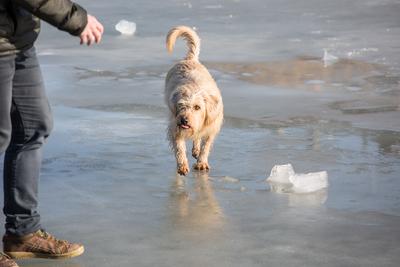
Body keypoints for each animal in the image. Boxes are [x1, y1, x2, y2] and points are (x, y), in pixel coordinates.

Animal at [164, 24, 223, 176]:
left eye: (197, 107)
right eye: (181, 106)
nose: (184, 120)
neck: (195, 90)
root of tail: (191, 59)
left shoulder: (211, 128)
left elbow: (206, 145)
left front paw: (201, 162)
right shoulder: (175, 126)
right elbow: (179, 147)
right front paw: (182, 165)